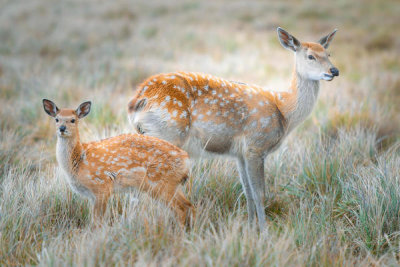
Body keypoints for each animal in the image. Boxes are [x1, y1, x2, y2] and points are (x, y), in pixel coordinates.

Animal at [43, 99, 193, 227]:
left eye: (73, 120)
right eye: (57, 119)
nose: (62, 128)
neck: (79, 160)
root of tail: (186, 160)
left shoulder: (102, 185)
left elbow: (98, 221)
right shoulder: (92, 195)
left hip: (161, 183)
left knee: (181, 208)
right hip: (170, 184)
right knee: (187, 205)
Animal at [129, 27, 340, 232]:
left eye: (328, 53)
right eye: (310, 56)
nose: (334, 70)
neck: (284, 111)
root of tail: (138, 100)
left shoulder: (239, 153)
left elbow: (247, 192)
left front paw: (250, 227)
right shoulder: (256, 145)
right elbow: (259, 193)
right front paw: (264, 232)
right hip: (168, 135)